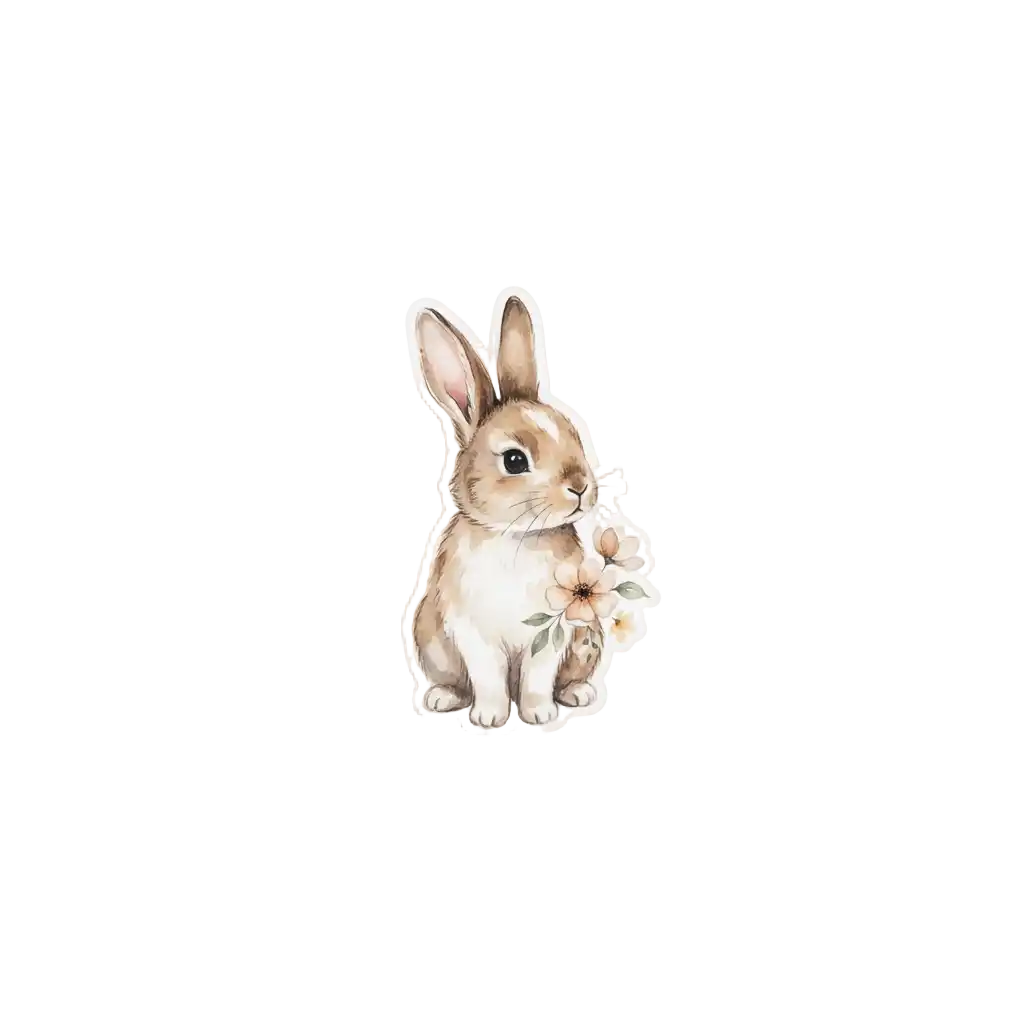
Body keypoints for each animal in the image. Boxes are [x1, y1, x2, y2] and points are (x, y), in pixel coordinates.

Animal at [413, 297, 606, 727]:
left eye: (573, 434)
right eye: (515, 461)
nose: (580, 487)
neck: (516, 536)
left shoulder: (553, 630)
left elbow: (538, 675)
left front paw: (539, 714)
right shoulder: (471, 632)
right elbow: (488, 676)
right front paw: (490, 716)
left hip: (587, 639)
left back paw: (578, 693)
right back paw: (444, 698)